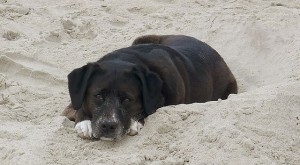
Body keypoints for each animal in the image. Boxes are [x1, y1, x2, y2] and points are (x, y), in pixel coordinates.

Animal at [62, 34, 238, 141]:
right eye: (98, 96)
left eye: (128, 99)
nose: (108, 126)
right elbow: (75, 107)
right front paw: (84, 122)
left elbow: (150, 108)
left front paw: (134, 122)